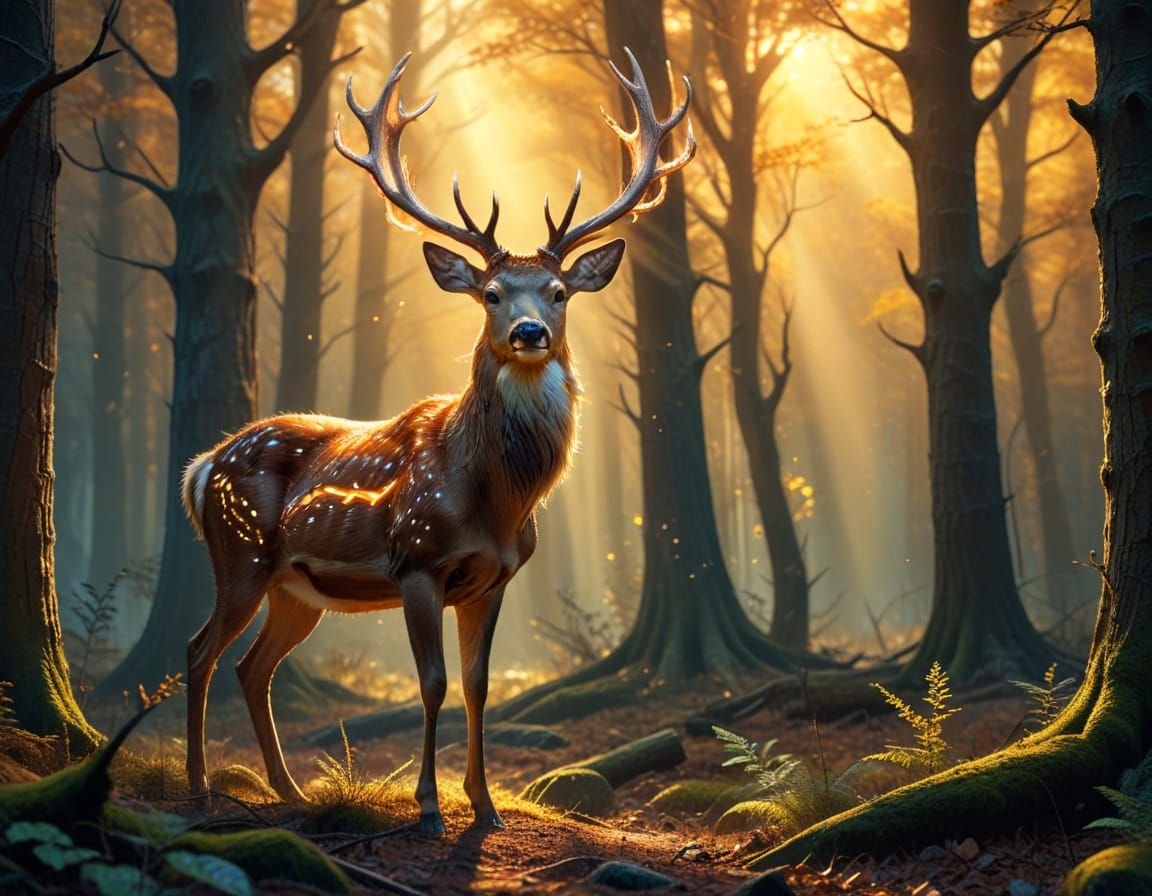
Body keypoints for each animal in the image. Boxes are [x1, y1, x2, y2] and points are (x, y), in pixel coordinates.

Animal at [181, 49, 694, 835]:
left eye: (558, 292)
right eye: (490, 293)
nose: (529, 332)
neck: (497, 502)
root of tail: (205, 463)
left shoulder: (494, 578)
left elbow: (479, 685)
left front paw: (484, 806)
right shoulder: (415, 560)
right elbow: (431, 682)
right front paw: (428, 807)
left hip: (298, 587)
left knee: (252, 666)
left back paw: (290, 792)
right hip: (240, 554)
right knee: (199, 650)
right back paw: (202, 789)